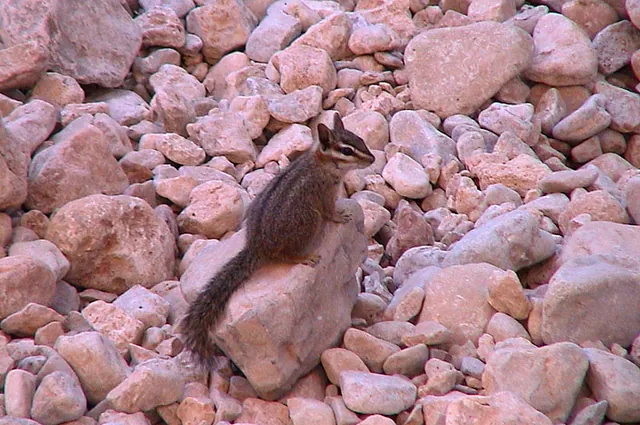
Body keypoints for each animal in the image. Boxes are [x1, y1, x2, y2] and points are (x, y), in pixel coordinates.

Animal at [181, 113, 375, 369]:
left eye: (360, 139)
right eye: (347, 150)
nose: (372, 159)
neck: (320, 163)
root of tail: (258, 247)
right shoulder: (324, 194)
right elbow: (330, 212)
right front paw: (340, 216)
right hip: (309, 221)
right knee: (284, 255)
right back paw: (304, 258)